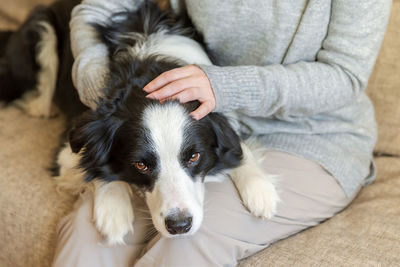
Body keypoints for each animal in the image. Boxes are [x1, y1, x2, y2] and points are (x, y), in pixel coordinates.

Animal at [0, 0, 280, 245]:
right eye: (141, 165)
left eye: (194, 156)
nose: (179, 226)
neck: (150, 72)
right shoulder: (68, 152)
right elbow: (95, 165)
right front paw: (113, 210)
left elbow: (237, 146)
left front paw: (260, 188)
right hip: (42, 27)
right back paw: (41, 106)